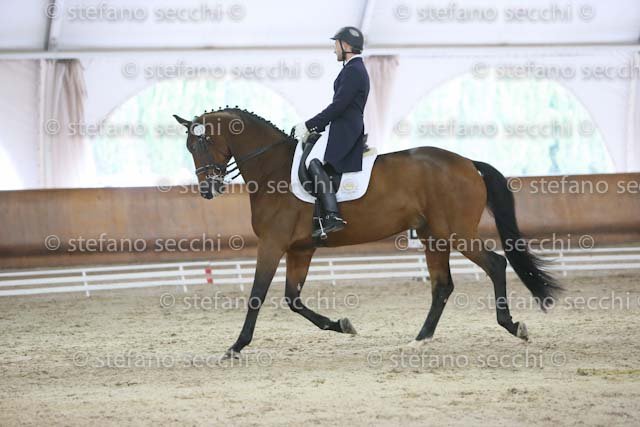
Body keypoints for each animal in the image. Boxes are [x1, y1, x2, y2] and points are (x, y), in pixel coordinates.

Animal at [173, 108, 561, 359]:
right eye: (189, 148)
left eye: (202, 144)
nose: (208, 190)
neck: (273, 169)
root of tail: (468, 163)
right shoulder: (301, 249)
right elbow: (293, 299)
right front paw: (342, 325)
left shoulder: (272, 244)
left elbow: (257, 295)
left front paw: (236, 346)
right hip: (434, 236)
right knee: (442, 286)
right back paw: (420, 339)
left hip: (457, 233)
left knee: (495, 265)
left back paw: (512, 325)